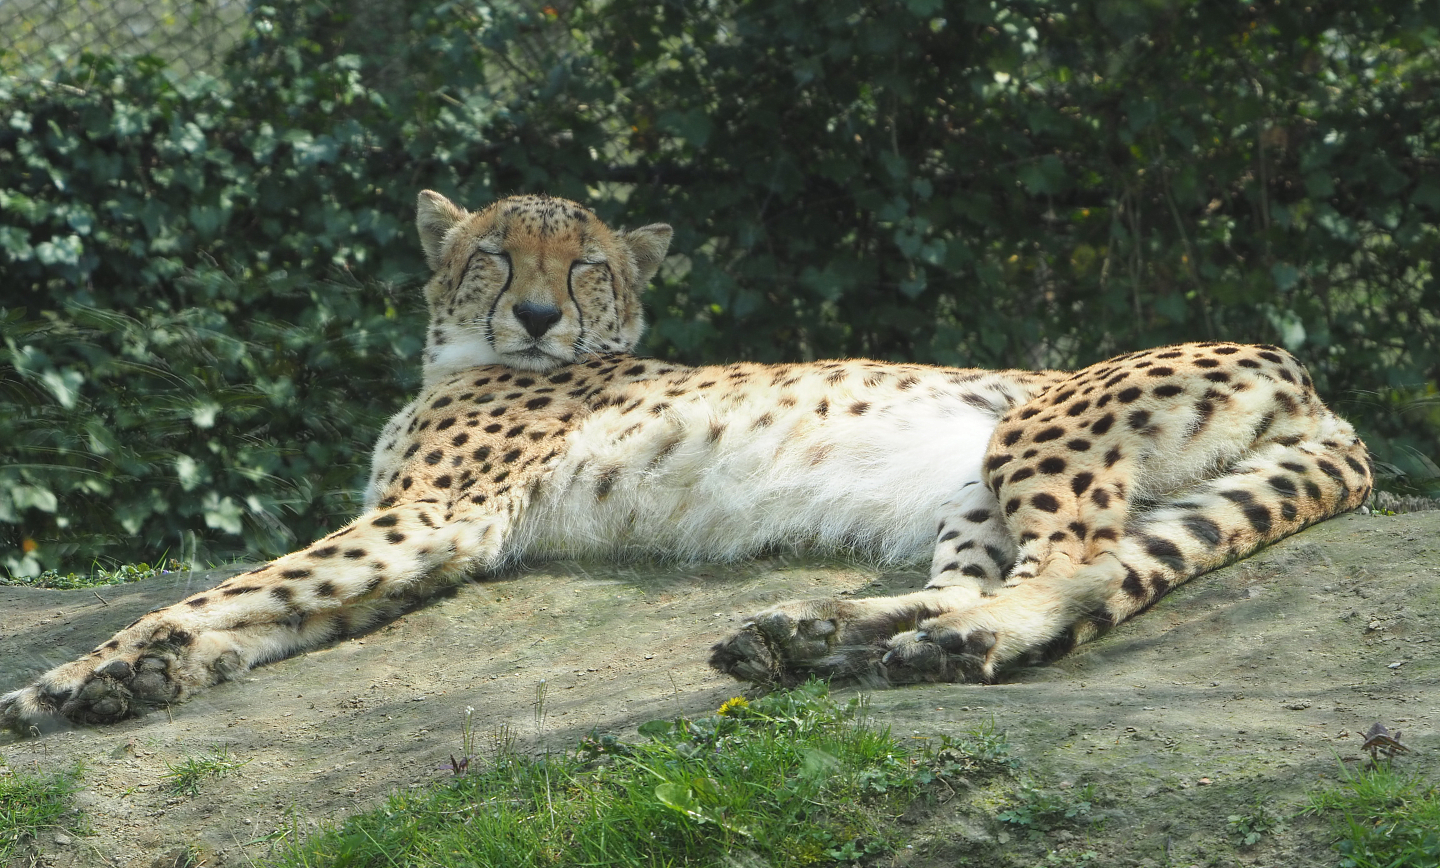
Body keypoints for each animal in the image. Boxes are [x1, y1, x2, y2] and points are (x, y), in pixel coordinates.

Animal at [0, 190, 1373, 733]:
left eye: (588, 268)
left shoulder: (435, 517)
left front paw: (67, 677)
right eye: (496, 255)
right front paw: (145, 678)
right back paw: (819, 635)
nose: (537, 315)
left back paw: (950, 645)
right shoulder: (431, 541)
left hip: (1033, 429)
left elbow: (225, 586)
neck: (460, 356)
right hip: (975, 484)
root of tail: (1314, 383)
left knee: (1079, 565)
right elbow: (273, 612)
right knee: (981, 574)